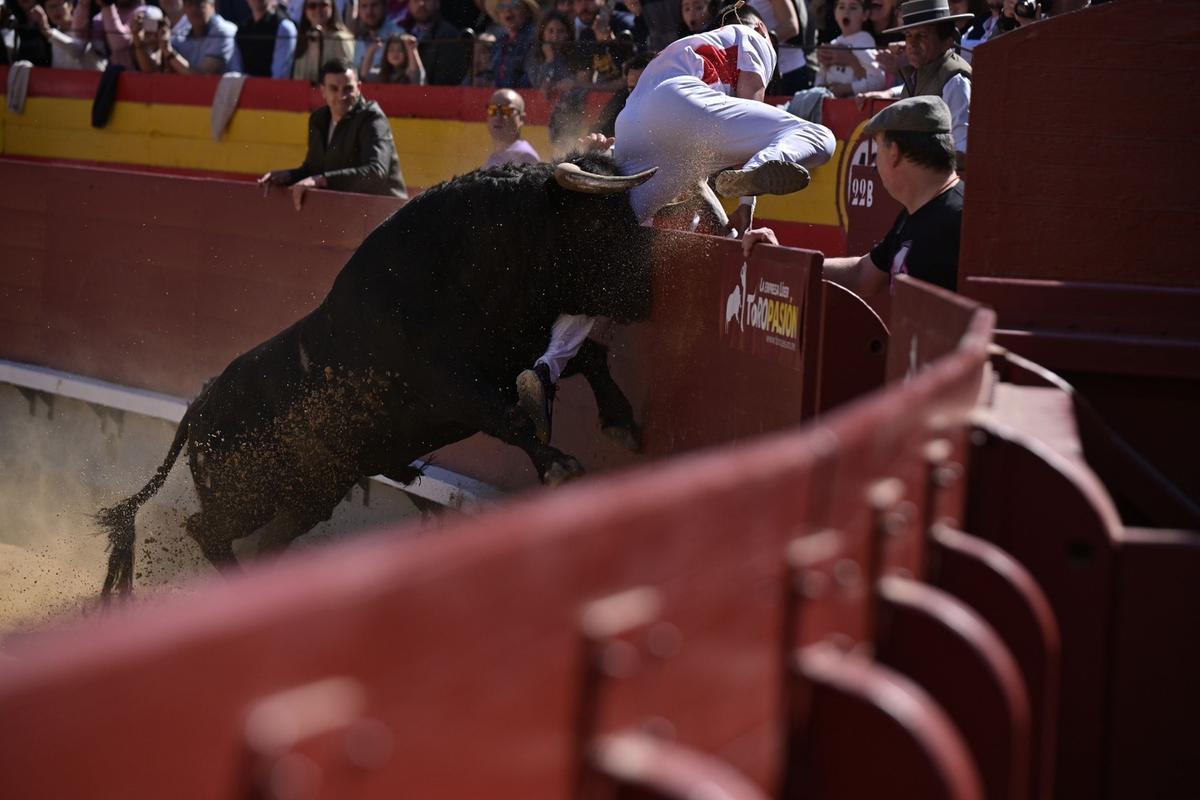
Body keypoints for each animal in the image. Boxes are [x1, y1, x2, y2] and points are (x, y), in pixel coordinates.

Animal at [96, 153, 657, 597]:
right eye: (600, 224)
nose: (649, 292)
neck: (461, 279)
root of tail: (199, 408)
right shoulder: (453, 388)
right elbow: (512, 417)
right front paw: (560, 465)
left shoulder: (515, 351)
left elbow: (590, 357)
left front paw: (622, 423)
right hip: (247, 495)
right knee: (205, 530)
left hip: (309, 495)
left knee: (265, 541)